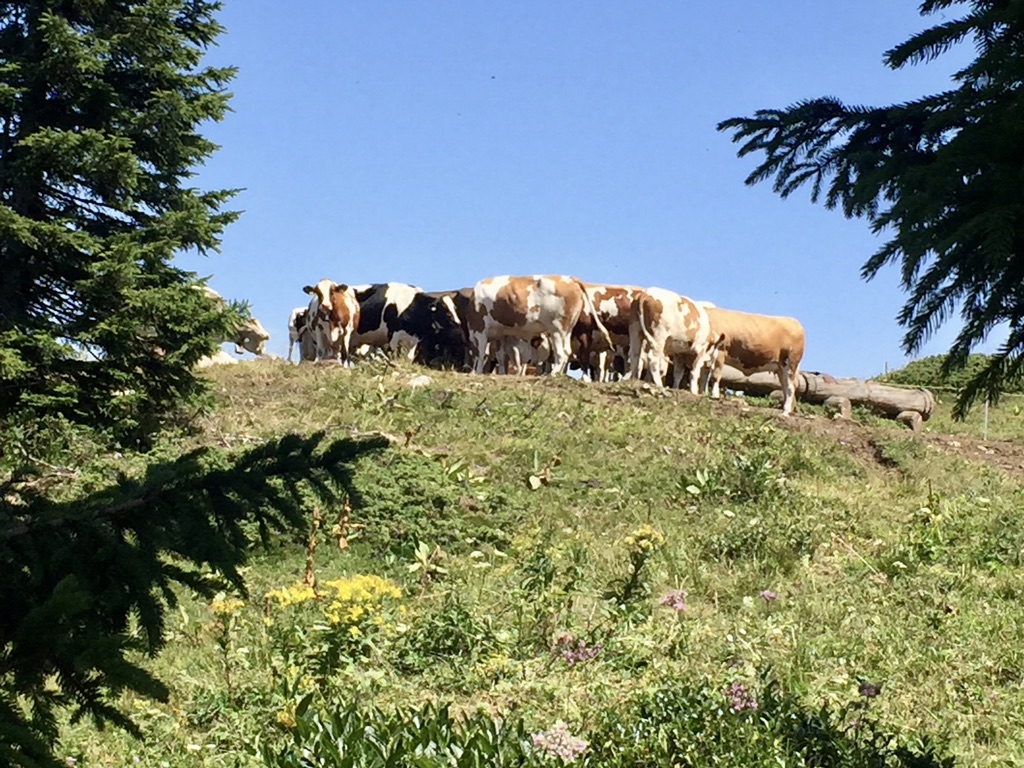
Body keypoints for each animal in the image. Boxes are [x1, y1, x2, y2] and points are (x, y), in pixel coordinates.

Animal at [467, 275, 612, 376]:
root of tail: (570, 279)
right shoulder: (501, 335)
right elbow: (501, 358)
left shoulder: (479, 329)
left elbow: (481, 353)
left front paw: (477, 372)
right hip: (566, 329)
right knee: (566, 351)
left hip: (557, 329)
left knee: (562, 352)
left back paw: (552, 374)